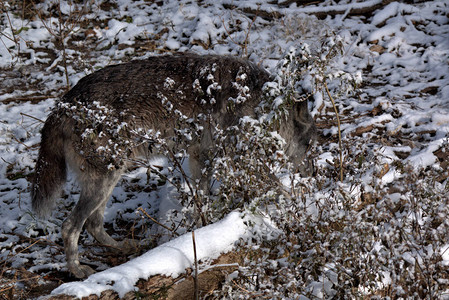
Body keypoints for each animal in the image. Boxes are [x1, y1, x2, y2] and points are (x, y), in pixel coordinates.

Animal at [30, 52, 316, 278]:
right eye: (310, 146)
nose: (313, 176)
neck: (258, 103)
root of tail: (60, 107)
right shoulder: (229, 157)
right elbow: (277, 188)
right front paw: (299, 205)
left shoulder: (200, 156)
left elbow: (202, 199)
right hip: (104, 181)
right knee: (70, 226)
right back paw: (77, 271)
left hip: (109, 179)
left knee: (93, 223)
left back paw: (123, 248)